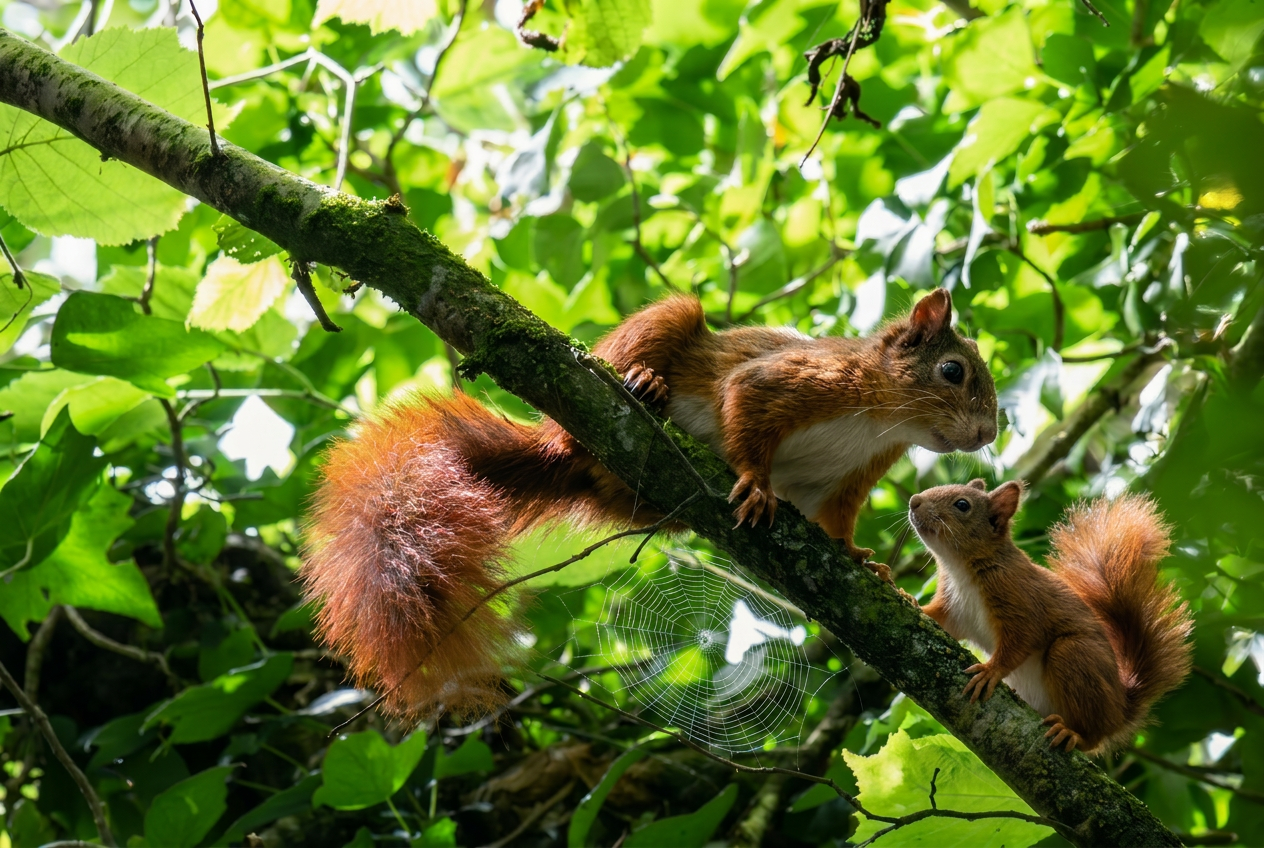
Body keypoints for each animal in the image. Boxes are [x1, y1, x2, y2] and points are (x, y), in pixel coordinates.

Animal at [302, 288, 998, 717]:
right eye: (954, 372)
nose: (990, 434)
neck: (881, 421)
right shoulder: (800, 381)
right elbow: (747, 403)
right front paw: (754, 482)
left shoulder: (850, 476)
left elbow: (835, 522)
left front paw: (862, 560)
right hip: (660, 332)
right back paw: (644, 383)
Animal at [908, 479, 1192, 753]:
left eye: (962, 505)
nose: (914, 501)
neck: (960, 569)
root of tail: (1120, 711)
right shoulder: (954, 608)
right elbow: (938, 618)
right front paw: (906, 596)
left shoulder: (1019, 599)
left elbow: (1021, 640)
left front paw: (991, 670)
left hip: (1074, 655)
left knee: (1094, 736)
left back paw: (1074, 734)